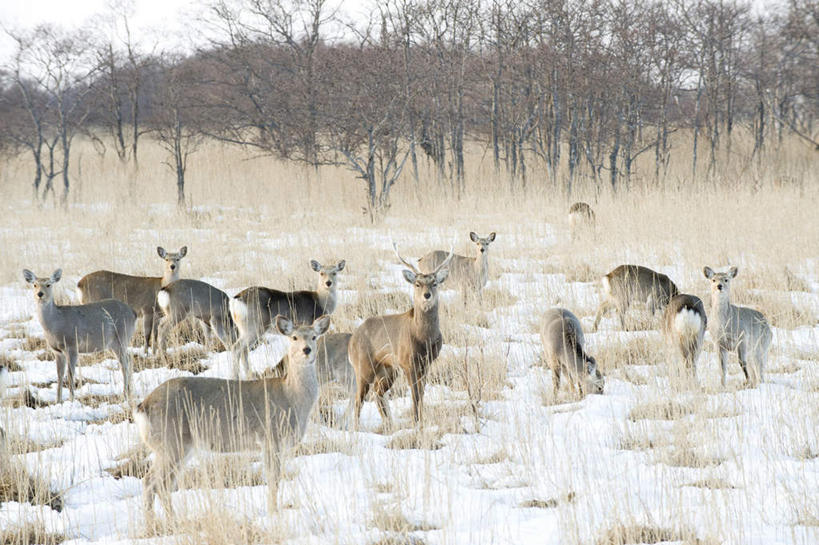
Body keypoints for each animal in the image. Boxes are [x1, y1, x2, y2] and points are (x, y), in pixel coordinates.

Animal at [22, 268, 136, 404]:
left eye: (48, 284)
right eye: (34, 284)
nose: (40, 294)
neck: (55, 324)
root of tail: (133, 313)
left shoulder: (72, 345)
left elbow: (70, 374)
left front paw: (71, 400)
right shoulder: (57, 351)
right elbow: (59, 375)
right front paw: (58, 401)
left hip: (121, 338)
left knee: (125, 362)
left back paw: (125, 394)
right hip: (114, 344)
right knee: (127, 360)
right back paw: (128, 392)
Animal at [135, 314, 330, 528]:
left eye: (314, 336)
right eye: (294, 337)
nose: (307, 350)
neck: (291, 397)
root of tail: (142, 406)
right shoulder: (270, 437)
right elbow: (273, 480)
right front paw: (273, 513)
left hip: (179, 447)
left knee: (164, 484)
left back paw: (171, 521)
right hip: (170, 442)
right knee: (150, 482)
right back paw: (155, 524)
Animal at [350, 244, 454, 428]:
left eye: (434, 283)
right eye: (417, 284)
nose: (427, 295)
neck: (423, 338)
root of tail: (351, 341)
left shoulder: (426, 363)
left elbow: (421, 394)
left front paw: (420, 420)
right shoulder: (408, 362)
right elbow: (415, 395)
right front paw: (416, 422)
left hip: (387, 370)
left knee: (378, 392)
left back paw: (388, 422)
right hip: (363, 366)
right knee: (358, 399)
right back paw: (356, 428)